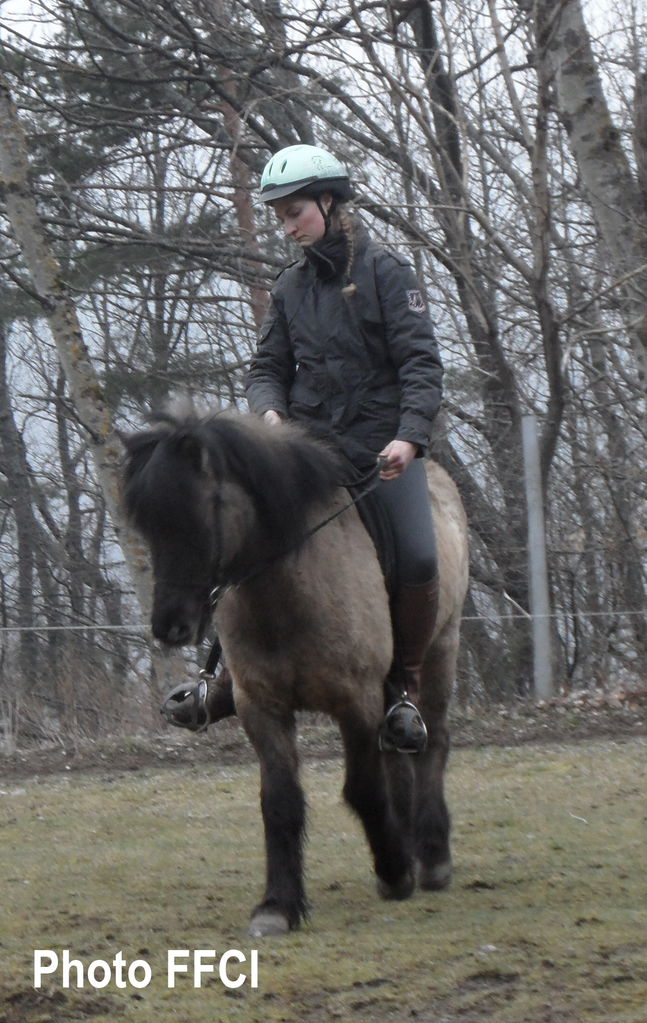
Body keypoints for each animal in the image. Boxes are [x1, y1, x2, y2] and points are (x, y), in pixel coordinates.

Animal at [122, 407, 470, 937]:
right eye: (147, 525)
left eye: (199, 511)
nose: (170, 626)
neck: (288, 586)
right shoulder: (261, 706)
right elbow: (280, 801)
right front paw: (278, 906)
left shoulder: (355, 700)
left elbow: (363, 790)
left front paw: (394, 872)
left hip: (439, 649)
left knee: (432, 742)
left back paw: (429, 857)